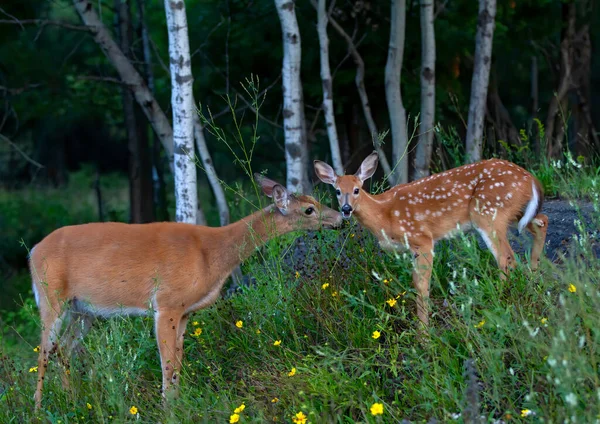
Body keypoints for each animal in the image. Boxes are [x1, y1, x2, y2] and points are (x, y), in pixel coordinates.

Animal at [29, 174, 342, 410]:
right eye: (309, 210)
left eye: (316, 201)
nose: (341, 216)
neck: (212, 256)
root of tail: (33, 251)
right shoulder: (166, 303)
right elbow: (167, 364)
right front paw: (167, 409)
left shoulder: (184, 312)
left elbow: (178, 362)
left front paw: (178, 403)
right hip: (51, 297)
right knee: (43, 352)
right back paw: (39, 409)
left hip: (83, 310)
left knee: (63, 349)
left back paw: (72, 401)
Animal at [314, 153, 548, 328]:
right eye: (337, 191)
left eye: (356, 189)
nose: (346, 209)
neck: (384, 215)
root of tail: (530, 178)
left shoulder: (422, 238)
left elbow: (421, 284)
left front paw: (424, 334)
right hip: (515, 212)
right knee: (541, 222)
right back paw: (533, 277)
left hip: (488, 212)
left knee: (506, 257)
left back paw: (498, 300)